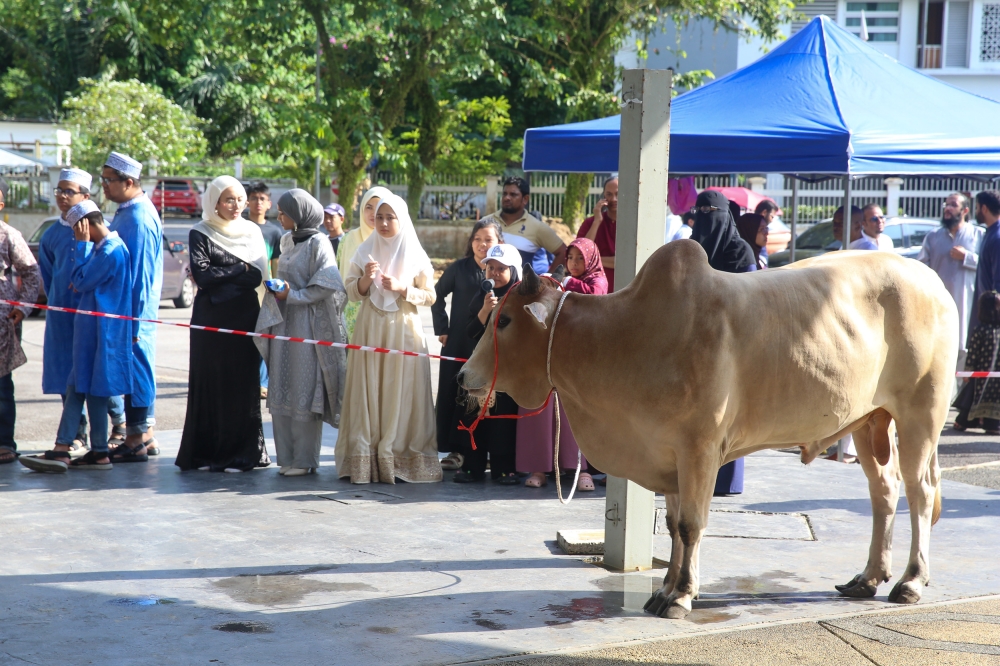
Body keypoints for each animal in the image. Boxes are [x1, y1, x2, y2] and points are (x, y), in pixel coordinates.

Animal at [457, 239, 957, 620]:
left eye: (504, 320)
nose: (462, 376)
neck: (624, 337)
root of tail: (933, 282)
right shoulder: (668, 456)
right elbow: (673, 525)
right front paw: (664, 589)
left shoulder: (699, 449)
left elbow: (692, 525)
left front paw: (681, 595)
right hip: (870, 420)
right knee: (884, 491)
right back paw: (868, 578)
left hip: (920, 414)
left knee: (920, 492)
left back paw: (911, 581)